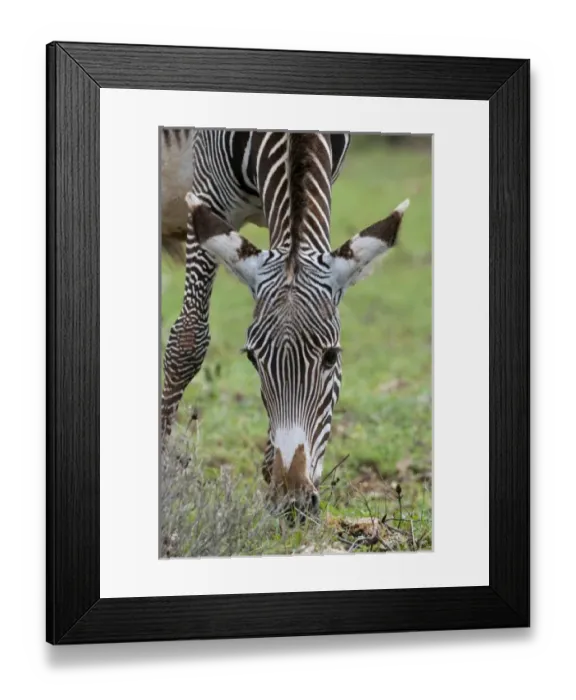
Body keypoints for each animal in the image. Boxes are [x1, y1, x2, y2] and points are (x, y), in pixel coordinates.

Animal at [161, 128, 409, 515]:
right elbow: (188, 340)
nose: (293, 503)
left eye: (331, 356)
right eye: (252, 358)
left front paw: (273, 474)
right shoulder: (208, 195)